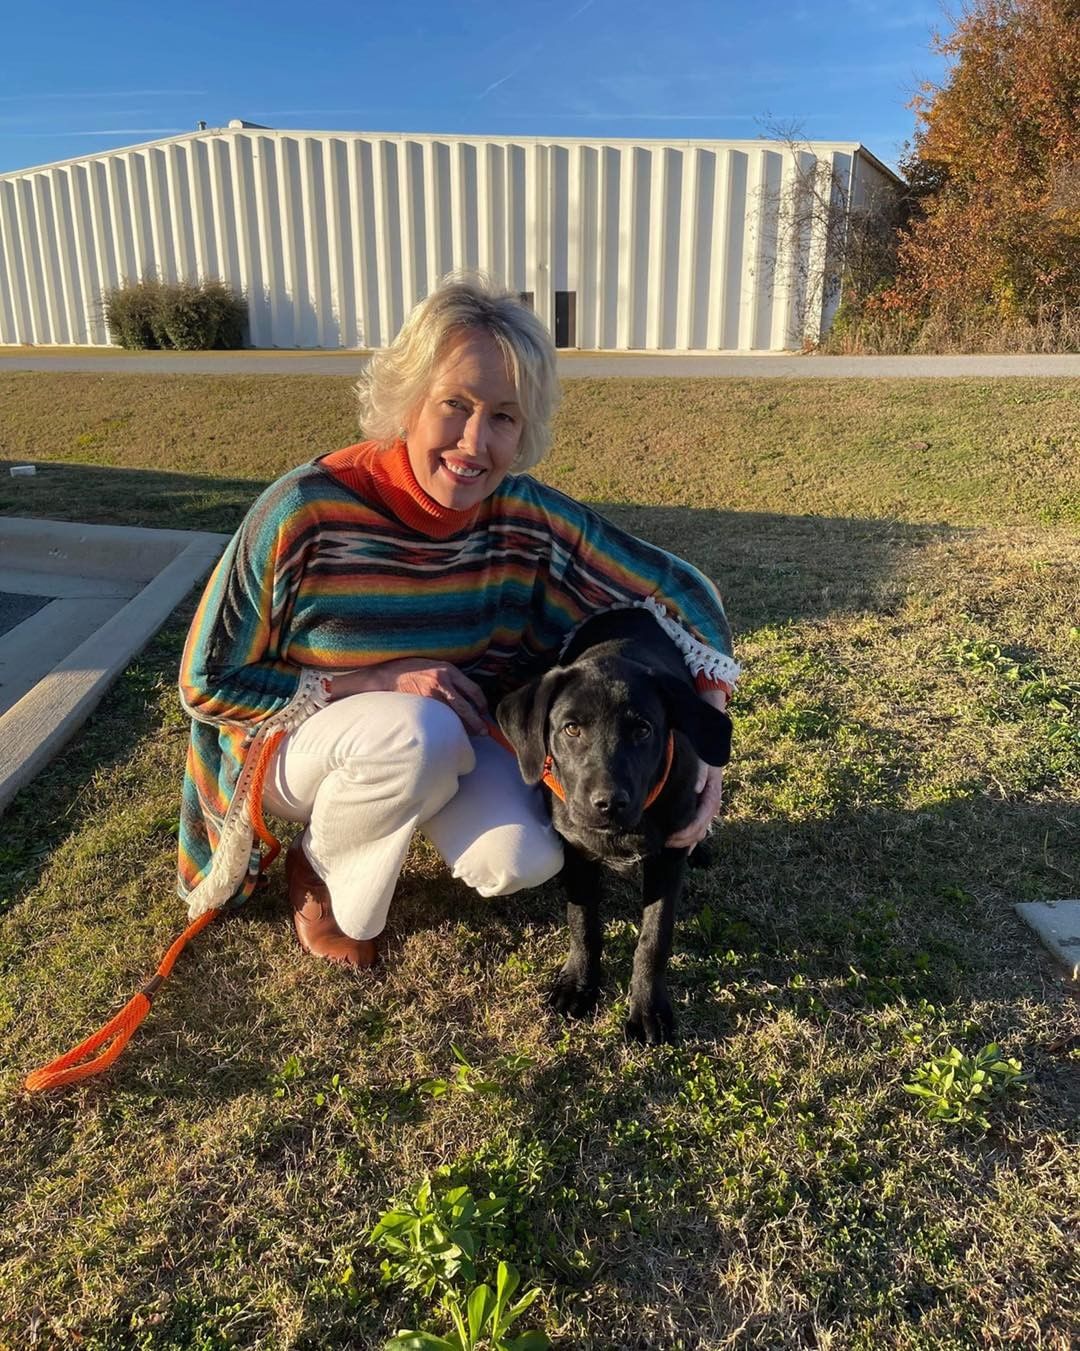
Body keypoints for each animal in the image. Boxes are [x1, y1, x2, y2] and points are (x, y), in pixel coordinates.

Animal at [497, 610, 735, 1042]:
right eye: (571, 728)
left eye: (643, 729)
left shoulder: (667, 857)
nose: (608, 804)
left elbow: (654, 938)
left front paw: (648, 1009)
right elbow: (583, 924)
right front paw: (579, 984)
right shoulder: (575, 850)